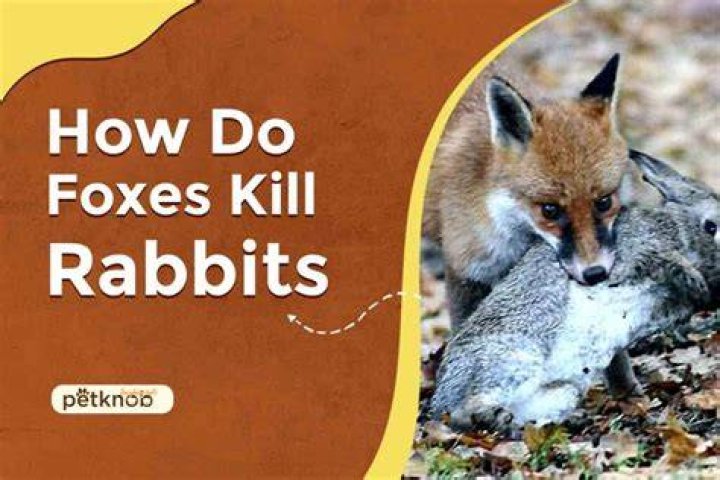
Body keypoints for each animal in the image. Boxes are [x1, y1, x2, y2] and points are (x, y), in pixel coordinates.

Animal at [429, 151, 719, 431]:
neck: (680, 229)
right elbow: (667, 262)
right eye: (711, 226)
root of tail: (441, 400)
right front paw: (697, 282)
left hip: (559, 391)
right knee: (462, 413)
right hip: (510, 360)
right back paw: (491, 418)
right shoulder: (637, 255)